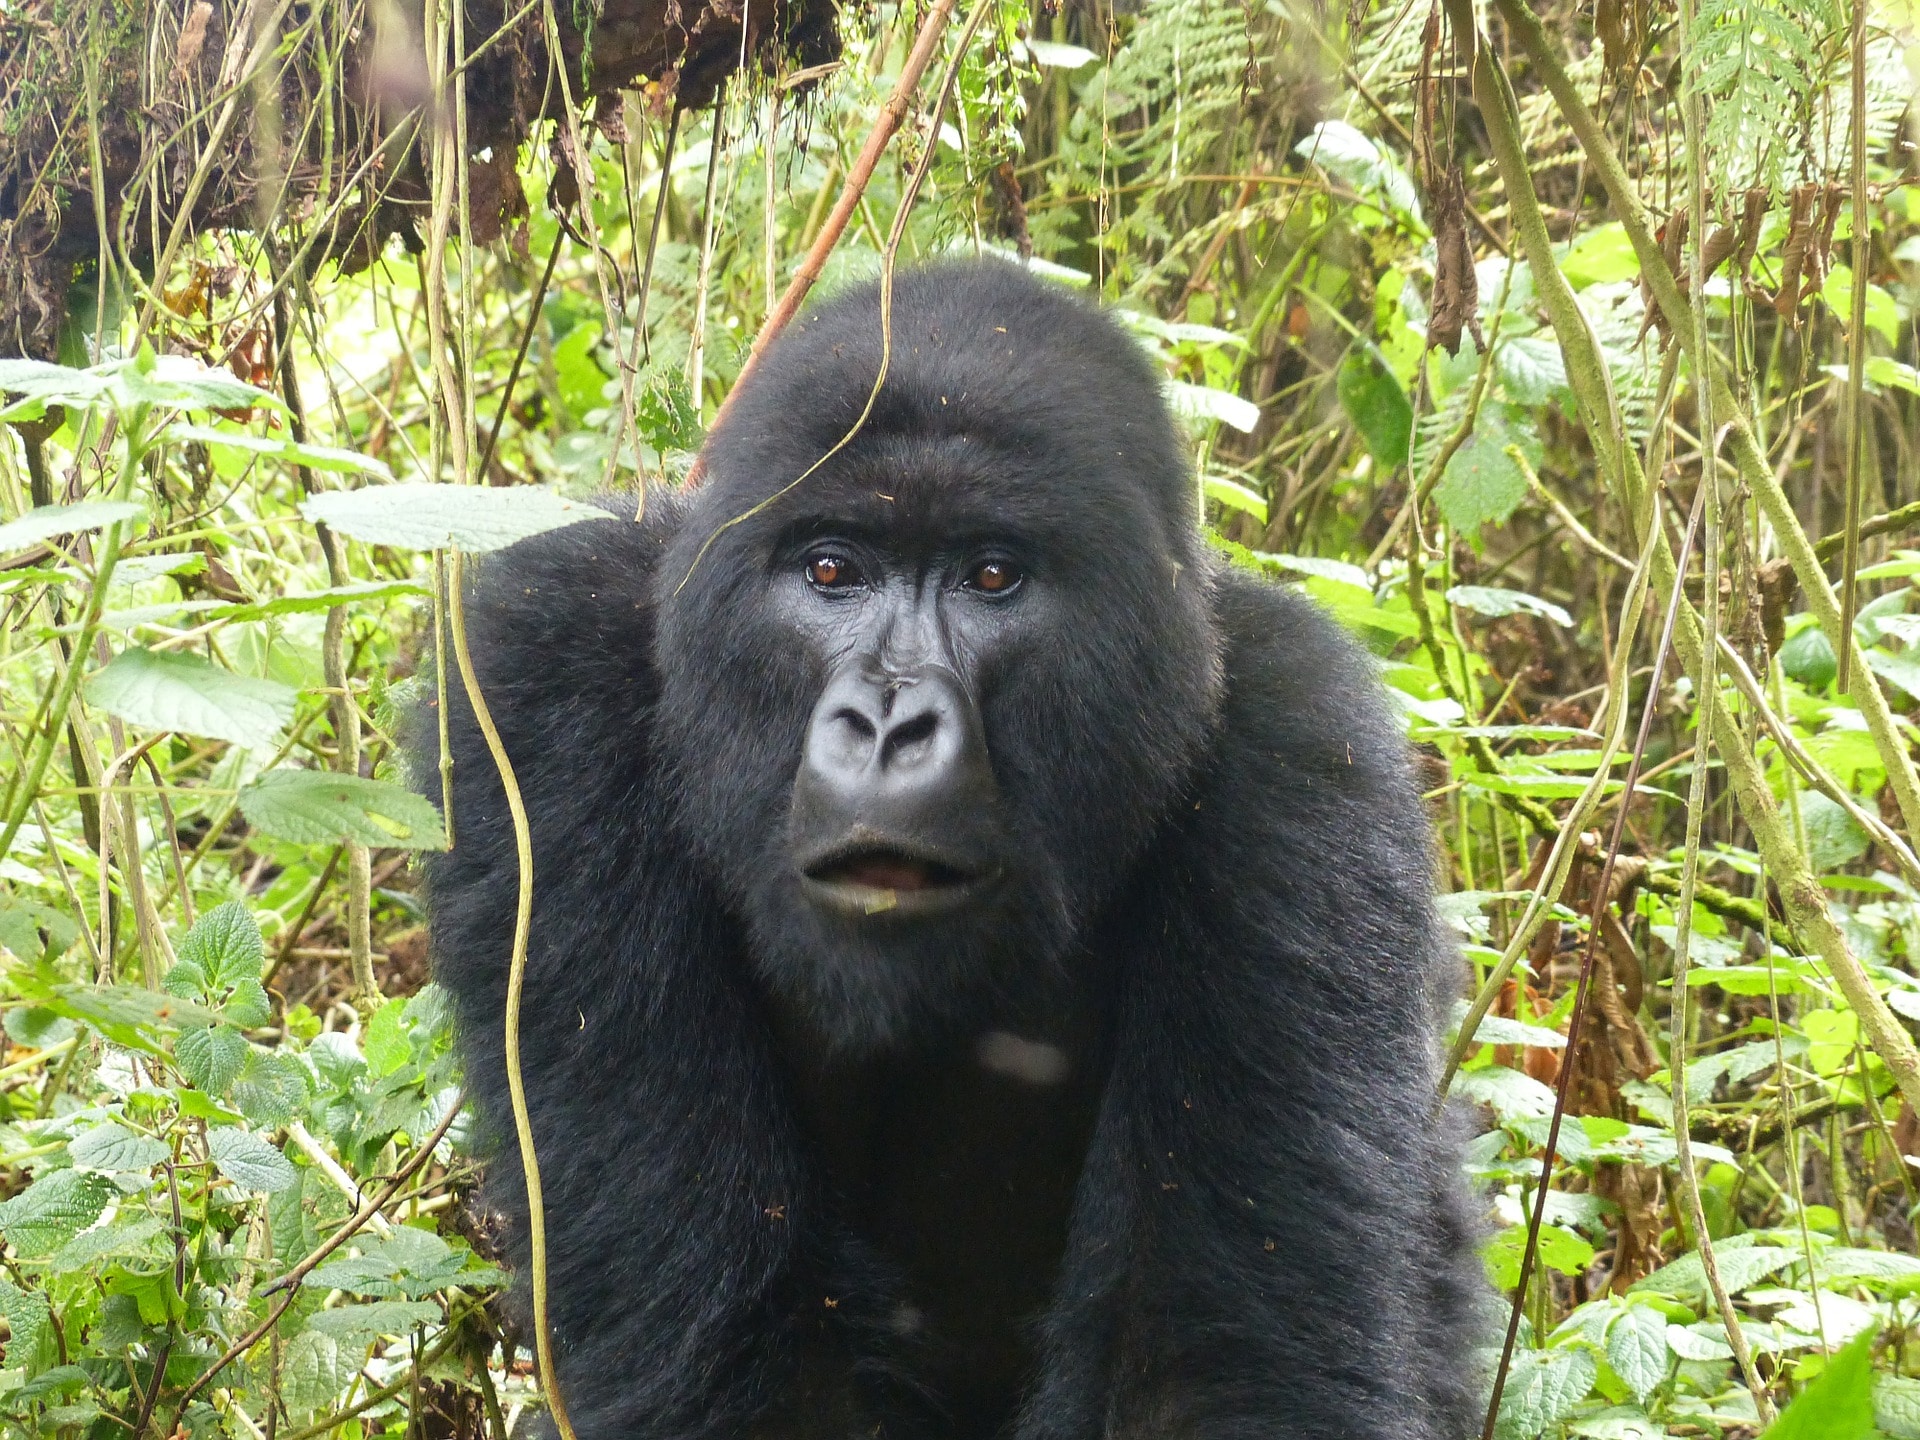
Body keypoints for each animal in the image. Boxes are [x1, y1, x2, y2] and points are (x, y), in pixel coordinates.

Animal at [424, 263, 1482, 1440]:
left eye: (990, 578)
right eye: (831, 569)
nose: (888, 726)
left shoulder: (1304, 750)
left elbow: (1214, 1370)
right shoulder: (540, 676)